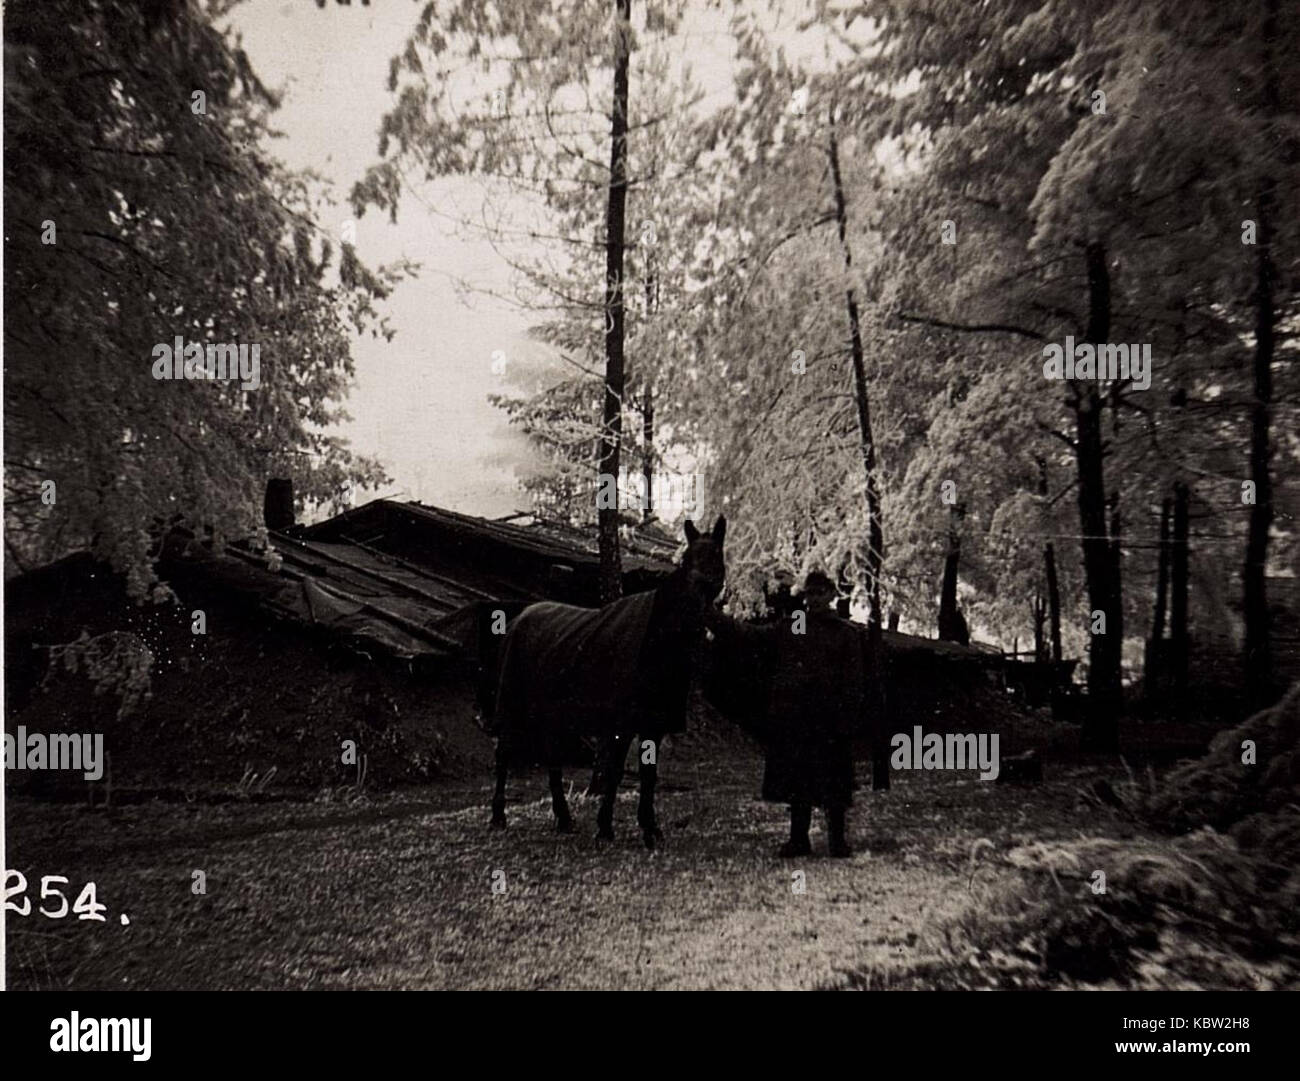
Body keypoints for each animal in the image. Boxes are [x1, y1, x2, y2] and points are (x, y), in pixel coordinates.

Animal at [488, 519, 728, 847]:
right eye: (687, 558)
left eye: (716, 554)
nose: (695, 602)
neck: (658, 641)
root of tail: (517, 619)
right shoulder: (621, 723)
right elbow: (614, 772)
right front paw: (605, 828)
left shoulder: (653, 724)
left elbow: (649, 775)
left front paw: (650, 828)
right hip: (512, 705)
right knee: (504, 755)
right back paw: (498, 818)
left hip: (552, 713)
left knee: (552, 758)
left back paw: (563, 818)